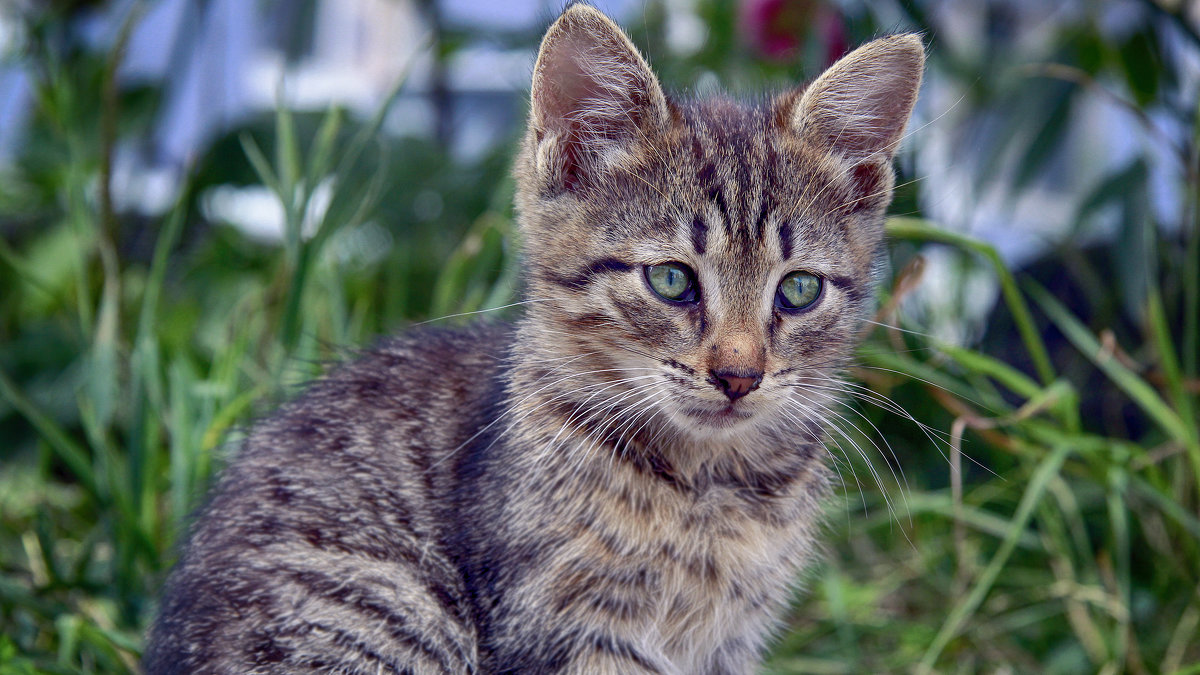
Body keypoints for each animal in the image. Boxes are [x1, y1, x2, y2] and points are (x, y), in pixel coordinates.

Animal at [142, 3, 926, 667]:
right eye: (672, 279)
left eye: (799, 290)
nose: (739, 375)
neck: (711, 487)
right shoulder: (563, 627)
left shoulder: (728, 641)